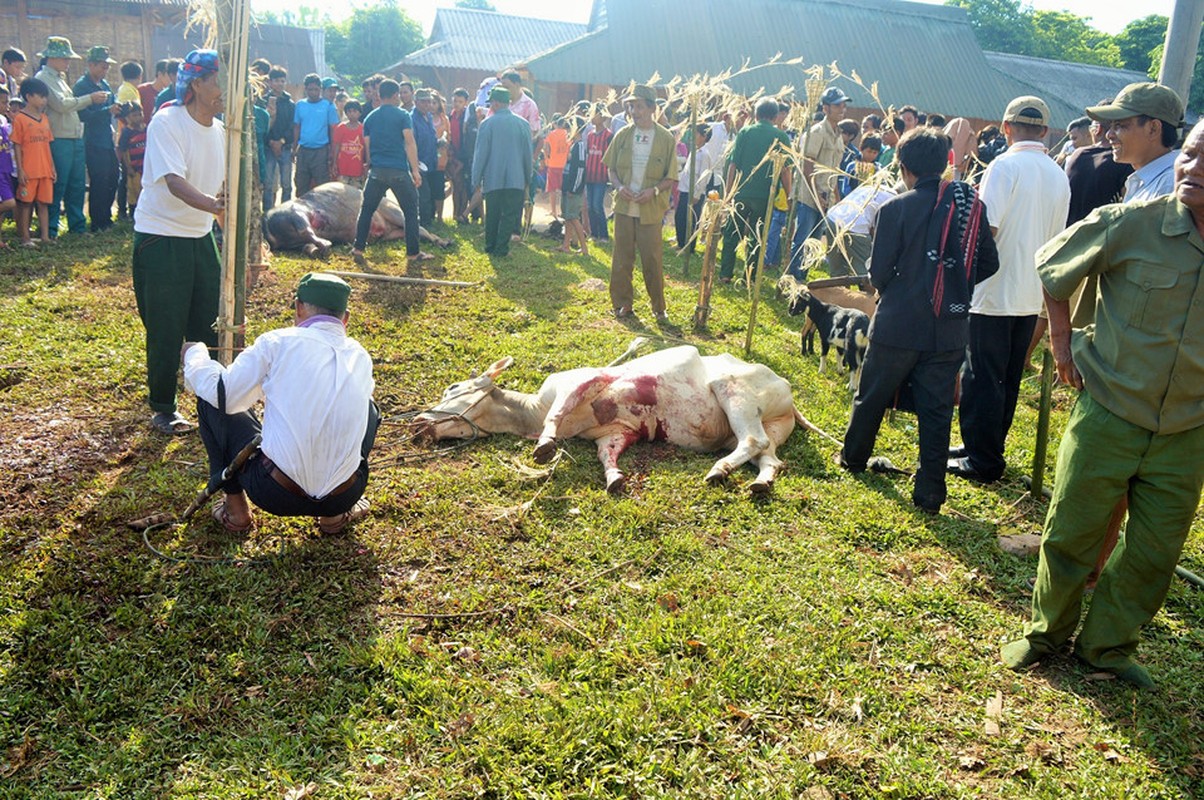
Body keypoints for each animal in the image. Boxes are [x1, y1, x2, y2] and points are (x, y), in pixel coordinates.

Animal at [414, 344, 818, 493]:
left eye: (453, 387)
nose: (418, 421)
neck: (532, 410)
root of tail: (784, 385)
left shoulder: (580, 382)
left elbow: (558, 413)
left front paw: (544, 446)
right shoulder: (614, 432)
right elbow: (605, 454)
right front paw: (614, 478)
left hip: (734, 392)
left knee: (754, 440)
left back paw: (719, 471)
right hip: (766, 427)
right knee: (770, 457)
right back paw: (760, 483)